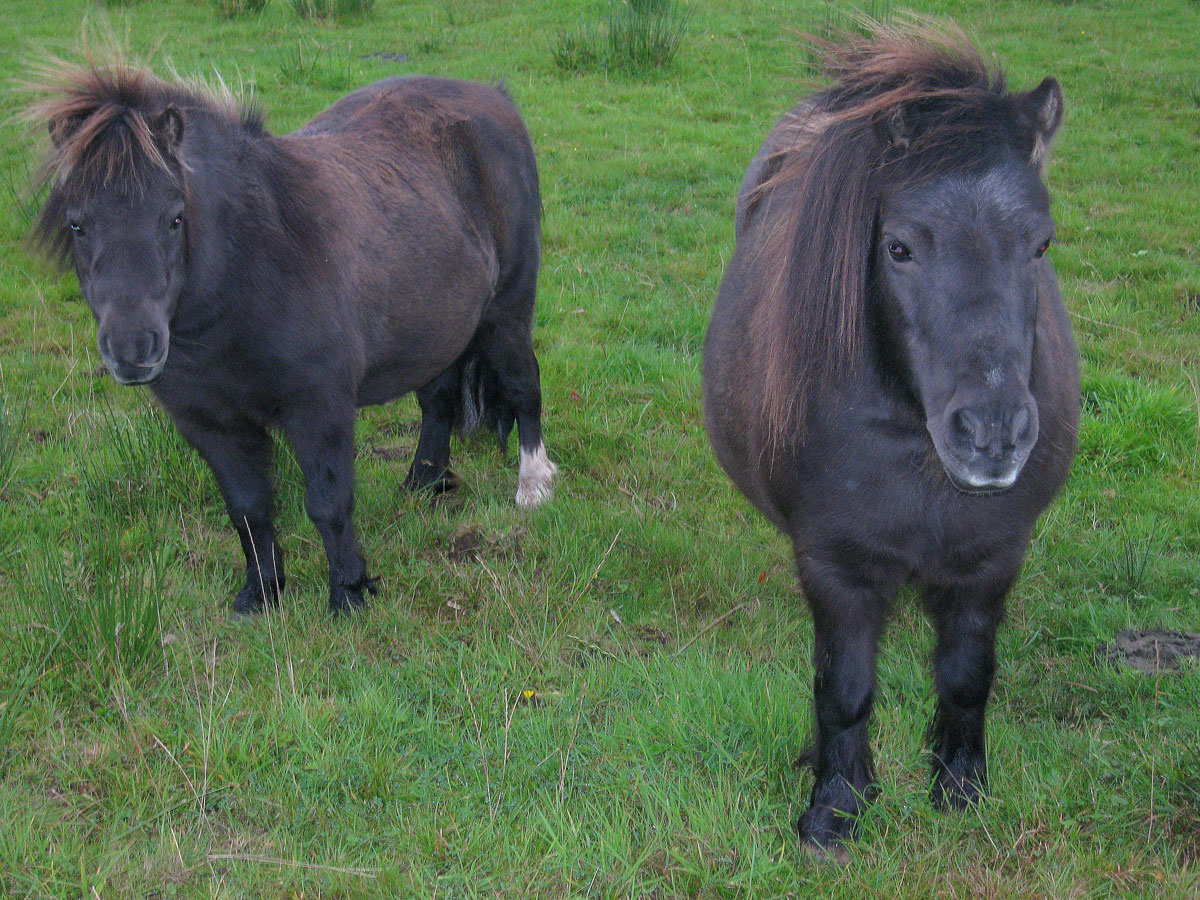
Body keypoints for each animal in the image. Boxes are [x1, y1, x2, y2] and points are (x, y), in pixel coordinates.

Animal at [27, 61, 557, 614]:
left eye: (175, 216)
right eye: (76, 224)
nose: (133, 350)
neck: (253, 266)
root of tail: (493, 97)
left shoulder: (318, 409)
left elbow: (328, 504)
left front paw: (349, 593)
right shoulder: (211, 425)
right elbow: (247, 509)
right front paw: (261, 593)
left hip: (507, 313)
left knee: (524, 387)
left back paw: (533, 486)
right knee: (438, 398)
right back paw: (423, 484)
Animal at [702, 23, 1079, 857]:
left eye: (1040, 246)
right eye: (900, 248)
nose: (992, 433)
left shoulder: (991, 561)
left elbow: (968, 675)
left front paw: (959, 783)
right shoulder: (836, 568)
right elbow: (843, 688)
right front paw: (836, 806)